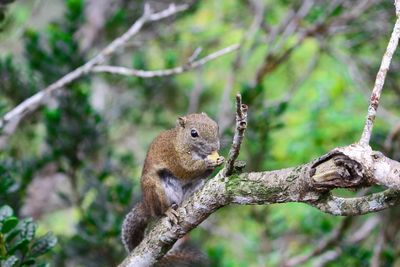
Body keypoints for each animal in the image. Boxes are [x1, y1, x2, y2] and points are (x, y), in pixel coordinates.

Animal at [121, 113, 225, 255]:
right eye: (194, 133)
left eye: (216, 126)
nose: (215, 147)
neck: (180, 141)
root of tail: (147, 205)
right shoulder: (175, 158)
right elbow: (186, 170)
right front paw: (207, 163)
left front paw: (220, 160)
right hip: (154, 189)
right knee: (159, 211)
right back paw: (168, 211)